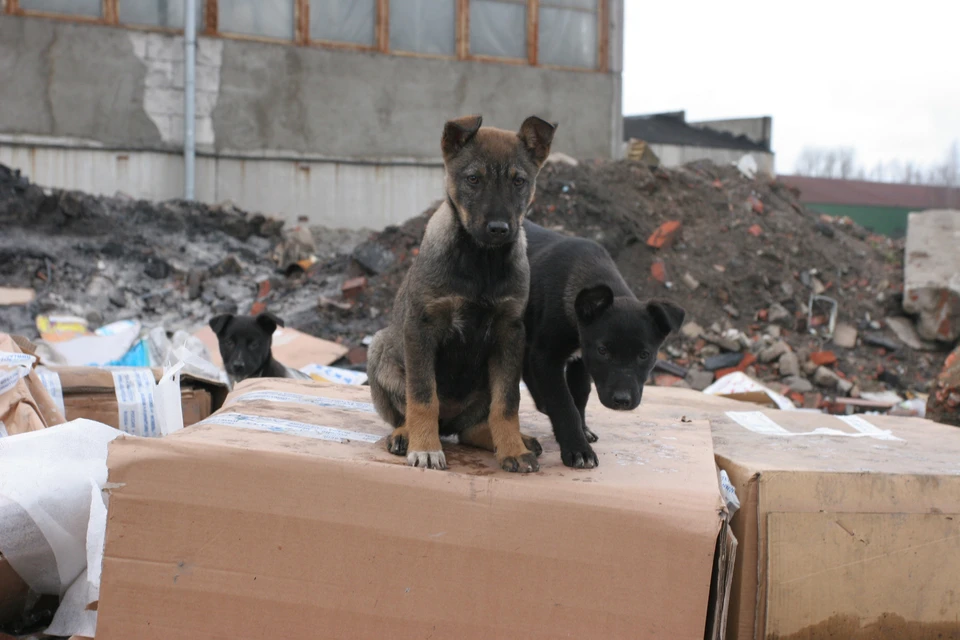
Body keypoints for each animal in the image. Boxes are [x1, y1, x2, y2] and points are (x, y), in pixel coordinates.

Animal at [366, 115, 556, 472]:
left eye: (519, 181)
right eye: (473, 179)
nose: (499, 228)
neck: (482, 261)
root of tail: (449, 424)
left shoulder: (510, 332)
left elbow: (507, 403)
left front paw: (512, 449)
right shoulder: (422, 326)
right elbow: (423, 395)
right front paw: (425, 448)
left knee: (472, 428)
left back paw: (513, 440)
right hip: (380, 346)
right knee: (408, 410)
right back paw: (405, 434)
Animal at [520, 222, 688, 468]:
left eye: (644, 355)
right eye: (603, 351)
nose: (622, 401)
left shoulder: (580, 359)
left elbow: (580, 394)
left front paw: (582, 430)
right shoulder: (547, 357)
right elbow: (564, 404)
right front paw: (578, 448)